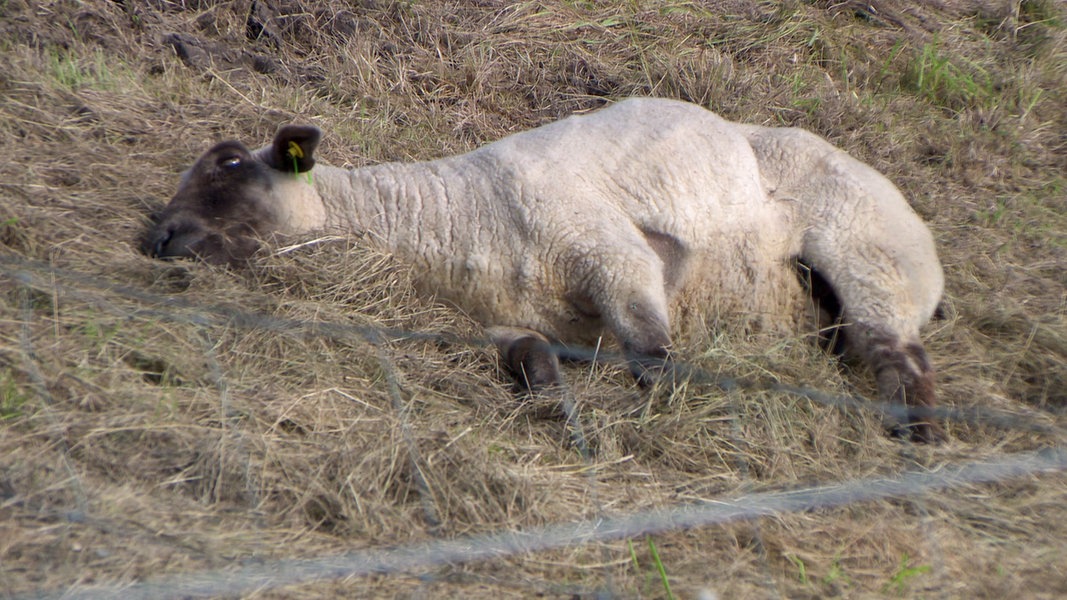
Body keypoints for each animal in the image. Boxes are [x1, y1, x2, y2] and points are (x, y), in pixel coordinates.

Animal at [144, 98, 951, 441]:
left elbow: (651, 360)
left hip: (871, 256)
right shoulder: (508, 325)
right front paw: (564, 420)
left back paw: (918, 437)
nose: (162, 237)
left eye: (229, 169)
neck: (450, 218)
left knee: (900, 357)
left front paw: (654, 419)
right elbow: (534, 366)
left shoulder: (615, 254)